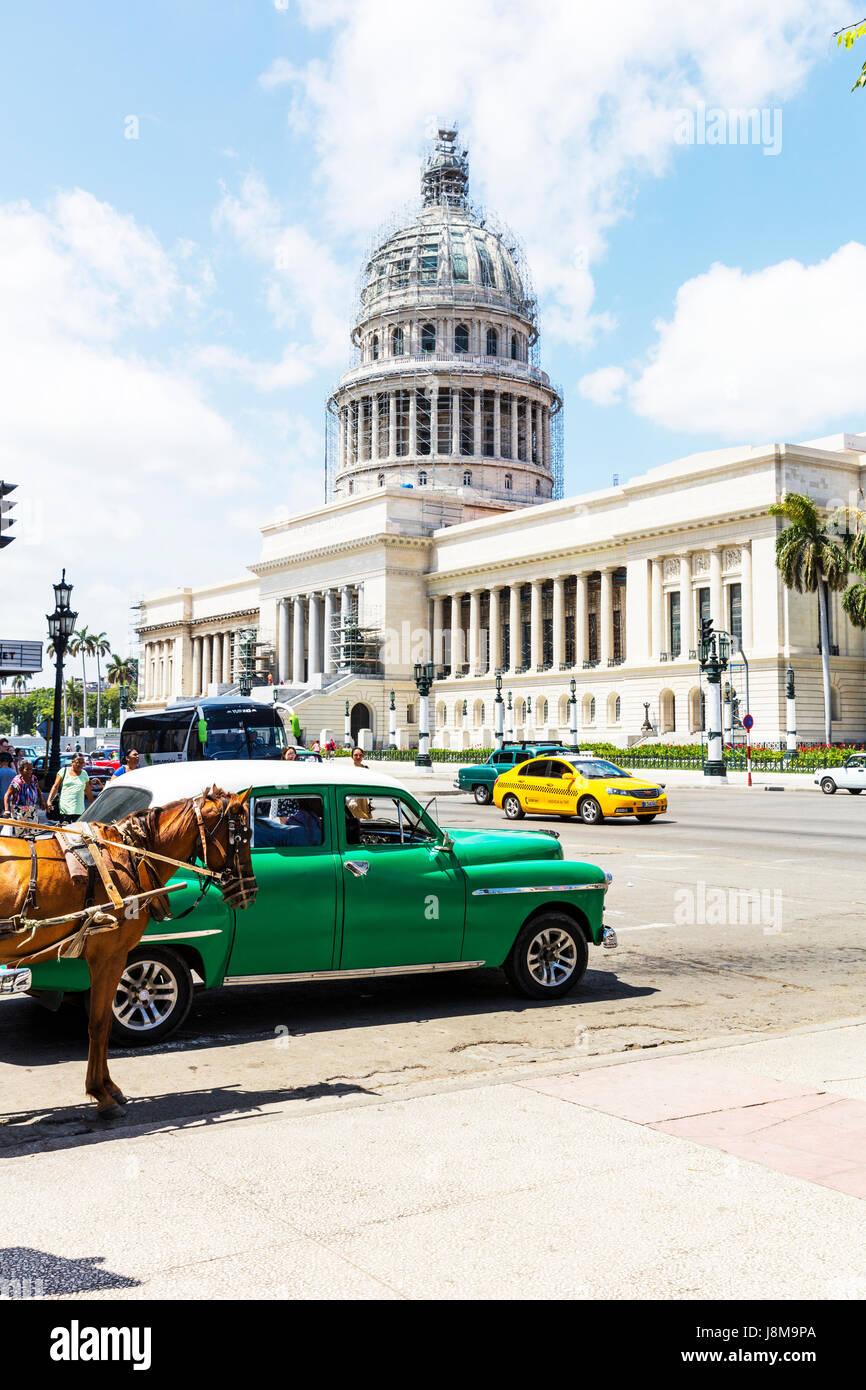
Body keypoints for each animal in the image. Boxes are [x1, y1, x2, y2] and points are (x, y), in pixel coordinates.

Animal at [0, 783, 254, 1117]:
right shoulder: (109, 957)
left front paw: (108, 1087)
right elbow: (99, 1023)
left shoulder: (112, 960)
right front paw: (101, 1093)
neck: (130, 856)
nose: (250, 889)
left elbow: (105, 1022)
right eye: (245, 835)